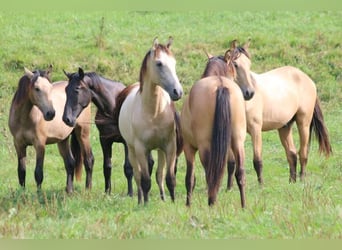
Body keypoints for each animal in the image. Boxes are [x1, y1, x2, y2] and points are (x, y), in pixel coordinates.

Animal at [116, 37, 183, 205]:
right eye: (159, 63)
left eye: (174, 62)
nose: (178, 92)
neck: (154, 112)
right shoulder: (141, 149)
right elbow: (145, 180)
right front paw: (145, 204)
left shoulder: (169, 146)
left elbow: (169, 178)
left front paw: (173, 202)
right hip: (132, 150)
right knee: (138, 176)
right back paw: (141, 200)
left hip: (159, 150)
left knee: (159, 175)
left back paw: (163, 198)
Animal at [206, 39, 332, 188]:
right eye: (235, 64)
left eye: (249, 64)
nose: (249, 93)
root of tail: (308, 79)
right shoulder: (232, 132)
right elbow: (231, 163)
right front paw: (229, 188)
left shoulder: (255, 129)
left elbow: (257, 160)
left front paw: (261, 186)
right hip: (285, 127)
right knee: (292, 154)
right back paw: (292, 182)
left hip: (303, 123)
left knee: (303, 153)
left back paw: (301, 180)